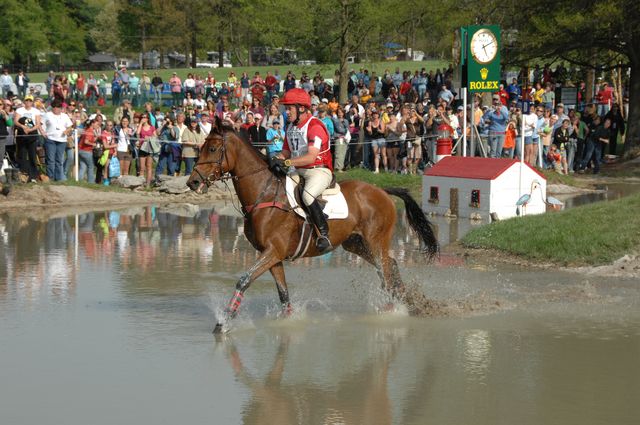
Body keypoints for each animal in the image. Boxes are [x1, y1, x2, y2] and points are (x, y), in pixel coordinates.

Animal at [188, 115, 438, 332]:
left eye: (212, 149)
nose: (193, 182)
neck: (264, 193)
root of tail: (382, 191)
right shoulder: (273, 256)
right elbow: (283, 293)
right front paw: (287, 322)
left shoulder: (272, 251)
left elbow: (243, 280)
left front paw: (223, 323)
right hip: (356, 243)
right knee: (390, 267)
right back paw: (404, 303)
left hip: (376, 241)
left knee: (385, 270)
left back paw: (393, 308)